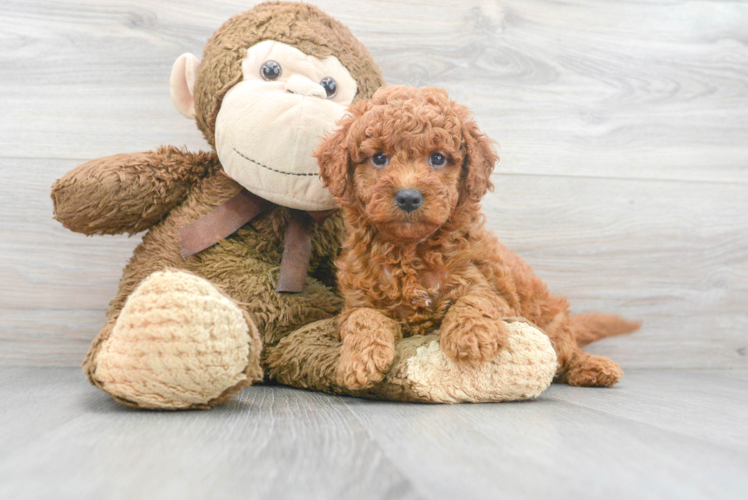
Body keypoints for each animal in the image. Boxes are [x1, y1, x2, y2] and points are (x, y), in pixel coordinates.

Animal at [314, 86, 636, 390]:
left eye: (438, 158)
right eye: (379, 158)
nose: (408, 197)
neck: (409, 250)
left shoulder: (491, 289)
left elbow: (475, 298)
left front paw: (471, 335)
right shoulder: (356, 302)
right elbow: (363, 319)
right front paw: (360, 361)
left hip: (550, 320)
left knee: (566, 352)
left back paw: (593, 367)